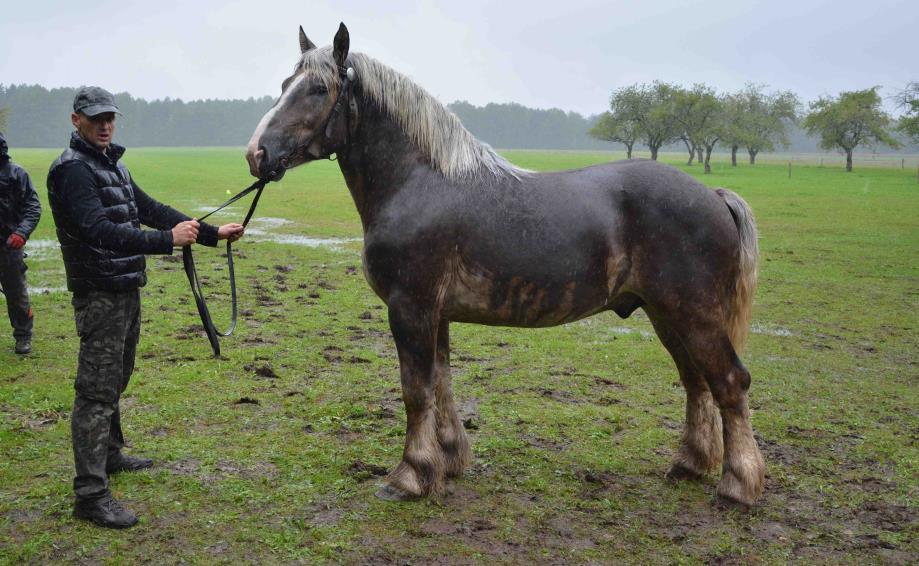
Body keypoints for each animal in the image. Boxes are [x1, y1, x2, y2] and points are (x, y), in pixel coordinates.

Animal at [248, 24, 764, 508]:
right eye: (285, 84)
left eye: (318, 89)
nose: (257, 154)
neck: (418, 182)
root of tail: (713, 195)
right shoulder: (435, 313)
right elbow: (441, 383)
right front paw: (449, 460)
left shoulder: (410, 307)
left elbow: (416, 390)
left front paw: (410, 476)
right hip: (665, 314)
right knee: (696, 382)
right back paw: (690, 464)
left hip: (693, 314)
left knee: (729, 382)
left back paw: (737, 484)